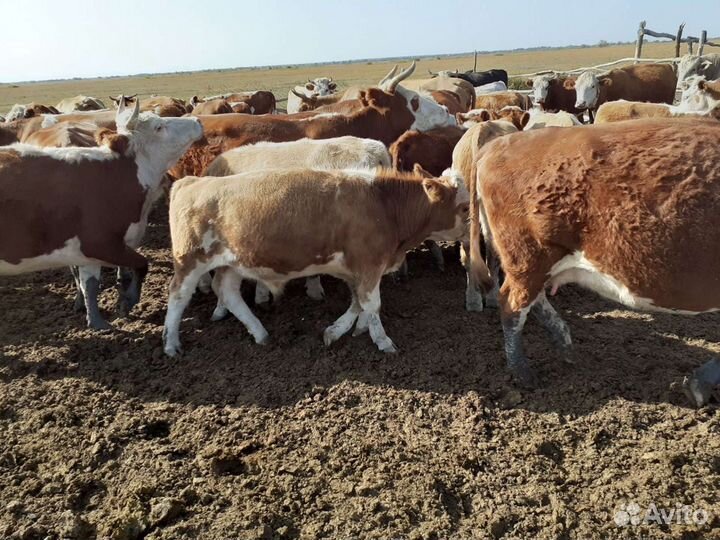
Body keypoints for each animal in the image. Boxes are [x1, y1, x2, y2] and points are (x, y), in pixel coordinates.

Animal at [0, 99, 203, 329]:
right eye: (158, 127)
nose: (197, 120)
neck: (118, 174)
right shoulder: (100, 244)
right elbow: (141, 264)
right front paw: (128, 300)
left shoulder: (89, 252)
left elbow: (90, 284)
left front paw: (97, 322)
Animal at [162, 167, 470, 357]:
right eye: (465, 207)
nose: (475, 232)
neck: (384, 205)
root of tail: (191, 181)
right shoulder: (369, 264)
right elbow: (372, 304)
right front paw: (382, 340)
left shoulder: (356, 269)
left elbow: (358, 302)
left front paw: (342, 330)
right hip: (190, 260)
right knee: (178, 296)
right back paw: (171, 343)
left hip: (233, 262)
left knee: (227, 291)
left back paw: (260, 333)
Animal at [467, 118, 720, 387]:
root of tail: (497, 145)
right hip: (529, 257)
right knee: (512, 304)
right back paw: (524, 374)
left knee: (532, 300)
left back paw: (565, 345)